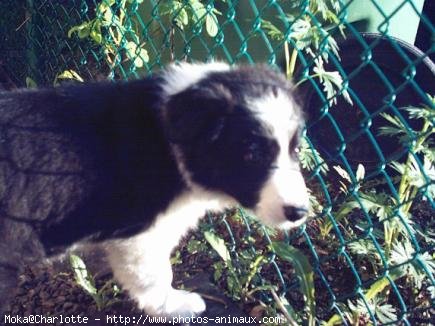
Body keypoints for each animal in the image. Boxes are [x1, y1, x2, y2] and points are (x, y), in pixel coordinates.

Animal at [0, 62, 310, 318]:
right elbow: (157, 276)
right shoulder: (141, 237)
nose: (300, 212)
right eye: (252, 155)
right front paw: (176, 307)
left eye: (295, 150)